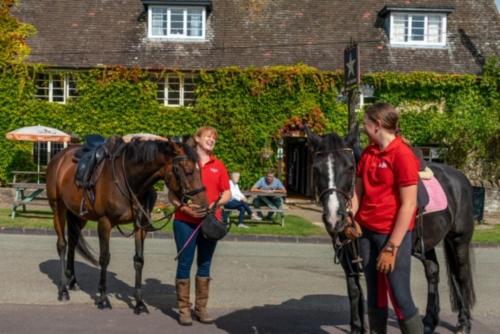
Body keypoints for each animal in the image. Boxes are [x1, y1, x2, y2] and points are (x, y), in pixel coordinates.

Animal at [47, 135, 209, 314]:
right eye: (187, 170)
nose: (203, 205)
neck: (130, 180)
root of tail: (59, 157)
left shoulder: (140, 225)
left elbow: (139, 260)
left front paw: (139, 302)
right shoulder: (104, 223)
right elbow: (104, 258)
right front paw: (103, 299)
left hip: (78, 215)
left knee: (73, 242)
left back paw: (73, 281)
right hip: (58, 208)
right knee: (62, 245)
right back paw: (63, 290)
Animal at [304, 126, 476, 334]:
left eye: (350, 167)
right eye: (315, 169)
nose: (334, 217)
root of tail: (461, 178)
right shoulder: (347, 255)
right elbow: (354, 291)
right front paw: (357, 328)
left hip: (459, 239)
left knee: (462, 276)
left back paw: (464, 324)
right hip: (426, 244)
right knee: (433, 271)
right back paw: (429, 321)